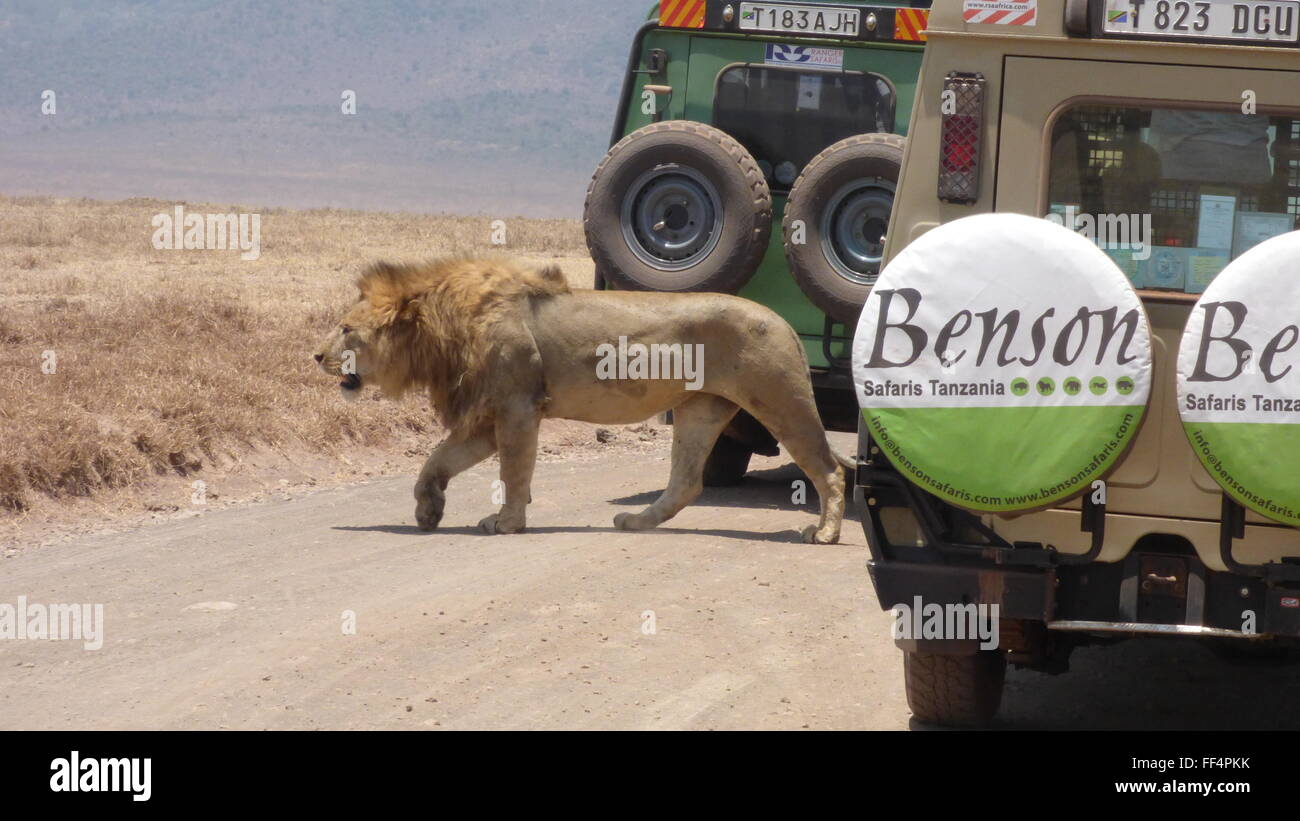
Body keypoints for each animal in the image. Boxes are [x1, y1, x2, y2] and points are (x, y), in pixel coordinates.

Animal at [313, 256, 848, 544]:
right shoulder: (488, 415)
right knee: (686, 483)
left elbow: (513, 472)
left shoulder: (517, 406)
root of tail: (785, 323)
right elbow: (436, 461)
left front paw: (507, 523)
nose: (317, 355)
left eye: (346, 330)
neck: (441, 329)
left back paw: (824, 533)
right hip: (701, 408)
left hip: (779, 398)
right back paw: (635, 522)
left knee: (828, 469)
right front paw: (429, 512)